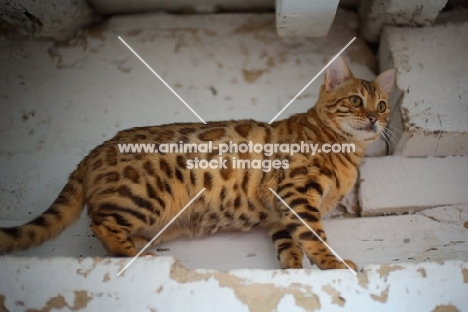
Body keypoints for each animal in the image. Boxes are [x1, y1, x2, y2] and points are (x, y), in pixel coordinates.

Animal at [0, 56, 394, 270]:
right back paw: (138, 255)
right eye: (356, 100)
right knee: (101, 224)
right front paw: (335, 265)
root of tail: (92, 153)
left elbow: (291, 246)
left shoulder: (279, 215)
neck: (345, 152)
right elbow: (316, 237)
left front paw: (294, 271)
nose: (375, 118)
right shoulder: (296, 192)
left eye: (383, 105)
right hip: (144, 197)